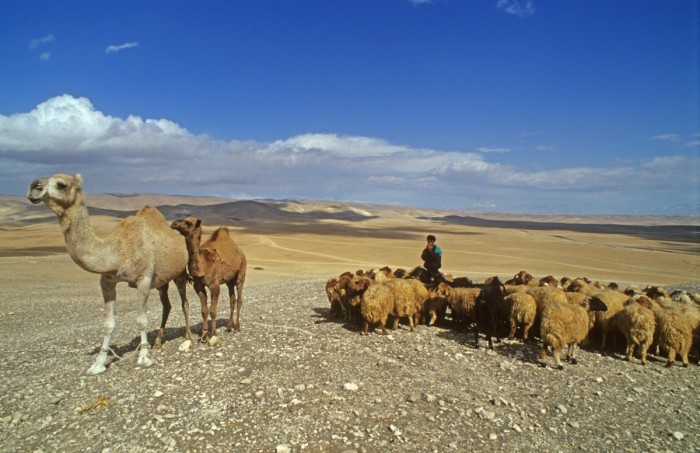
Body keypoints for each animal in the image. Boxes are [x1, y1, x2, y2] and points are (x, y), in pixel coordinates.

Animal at [27, 171, 193, 372]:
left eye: (61, 184)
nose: (34, 187)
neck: (116, 251)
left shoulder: (143, 280)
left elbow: (141, 320)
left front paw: (144, 357)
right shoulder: (106, 281)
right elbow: (108, 324)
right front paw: (98, 363)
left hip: (180, 274)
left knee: (184, 303)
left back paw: (188, 337)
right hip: (162, 280)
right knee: (166, 305)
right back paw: (158, 342)